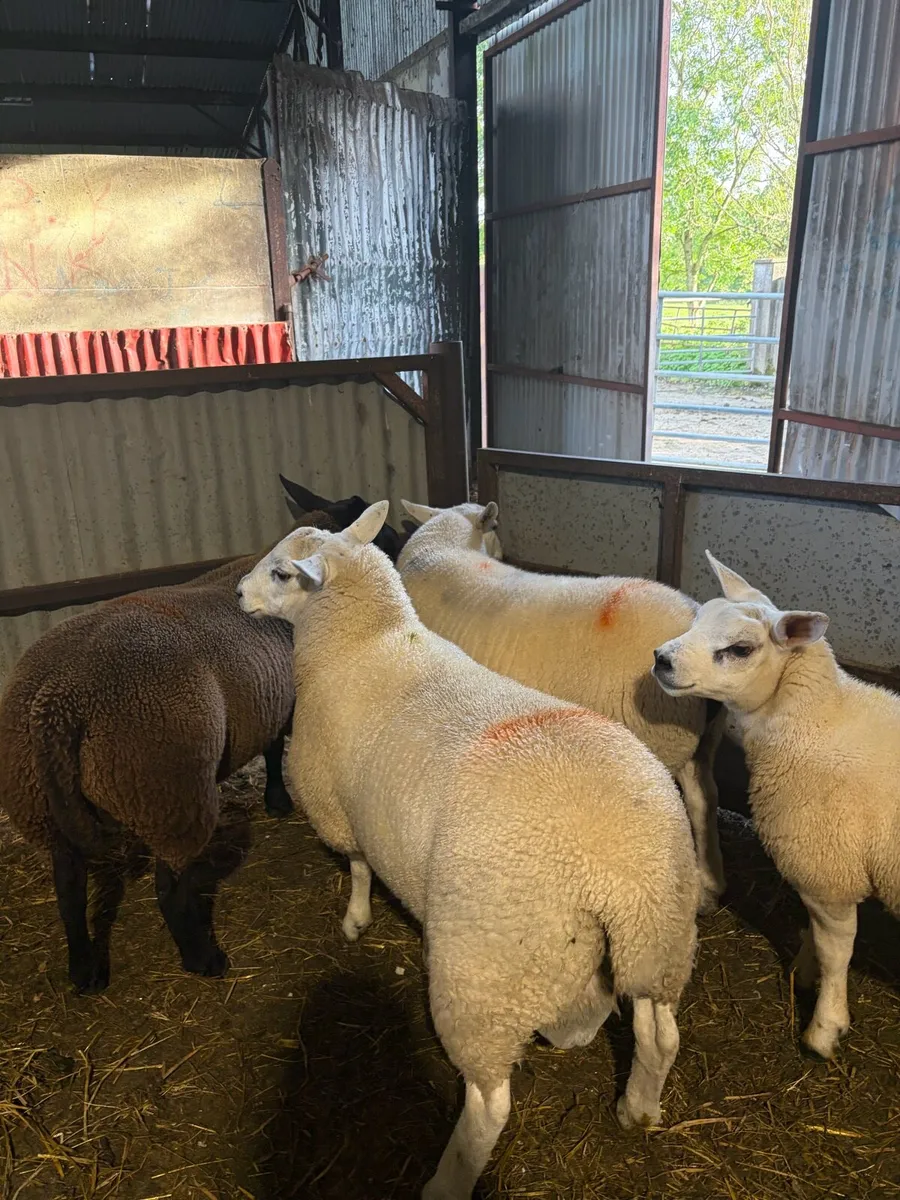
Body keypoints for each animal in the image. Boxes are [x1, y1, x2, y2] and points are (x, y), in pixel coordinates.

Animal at [0, 483, 403, 994]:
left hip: (42, 804)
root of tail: (57, 702)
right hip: (169, 792)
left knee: (68, 889)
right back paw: (202, 957)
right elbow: (274, 747)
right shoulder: (278, 700)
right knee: (168, 891)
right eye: (384, 533)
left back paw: (85, 971)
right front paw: (277, 799)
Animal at [396, 500, 726, 914]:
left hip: (663, 736)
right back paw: (712, 884)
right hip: (701, 739)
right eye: (496, 529)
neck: (446, 546)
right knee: (704, 798)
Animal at [652, 551, 900, 1060]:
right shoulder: (819, 876)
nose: (661, 659)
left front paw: (825, 1029)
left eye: (740, 649)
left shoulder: (829, 869)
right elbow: (815, 935)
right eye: (697, 619)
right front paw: (803, 970)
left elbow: (838, 951)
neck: (817, 721)